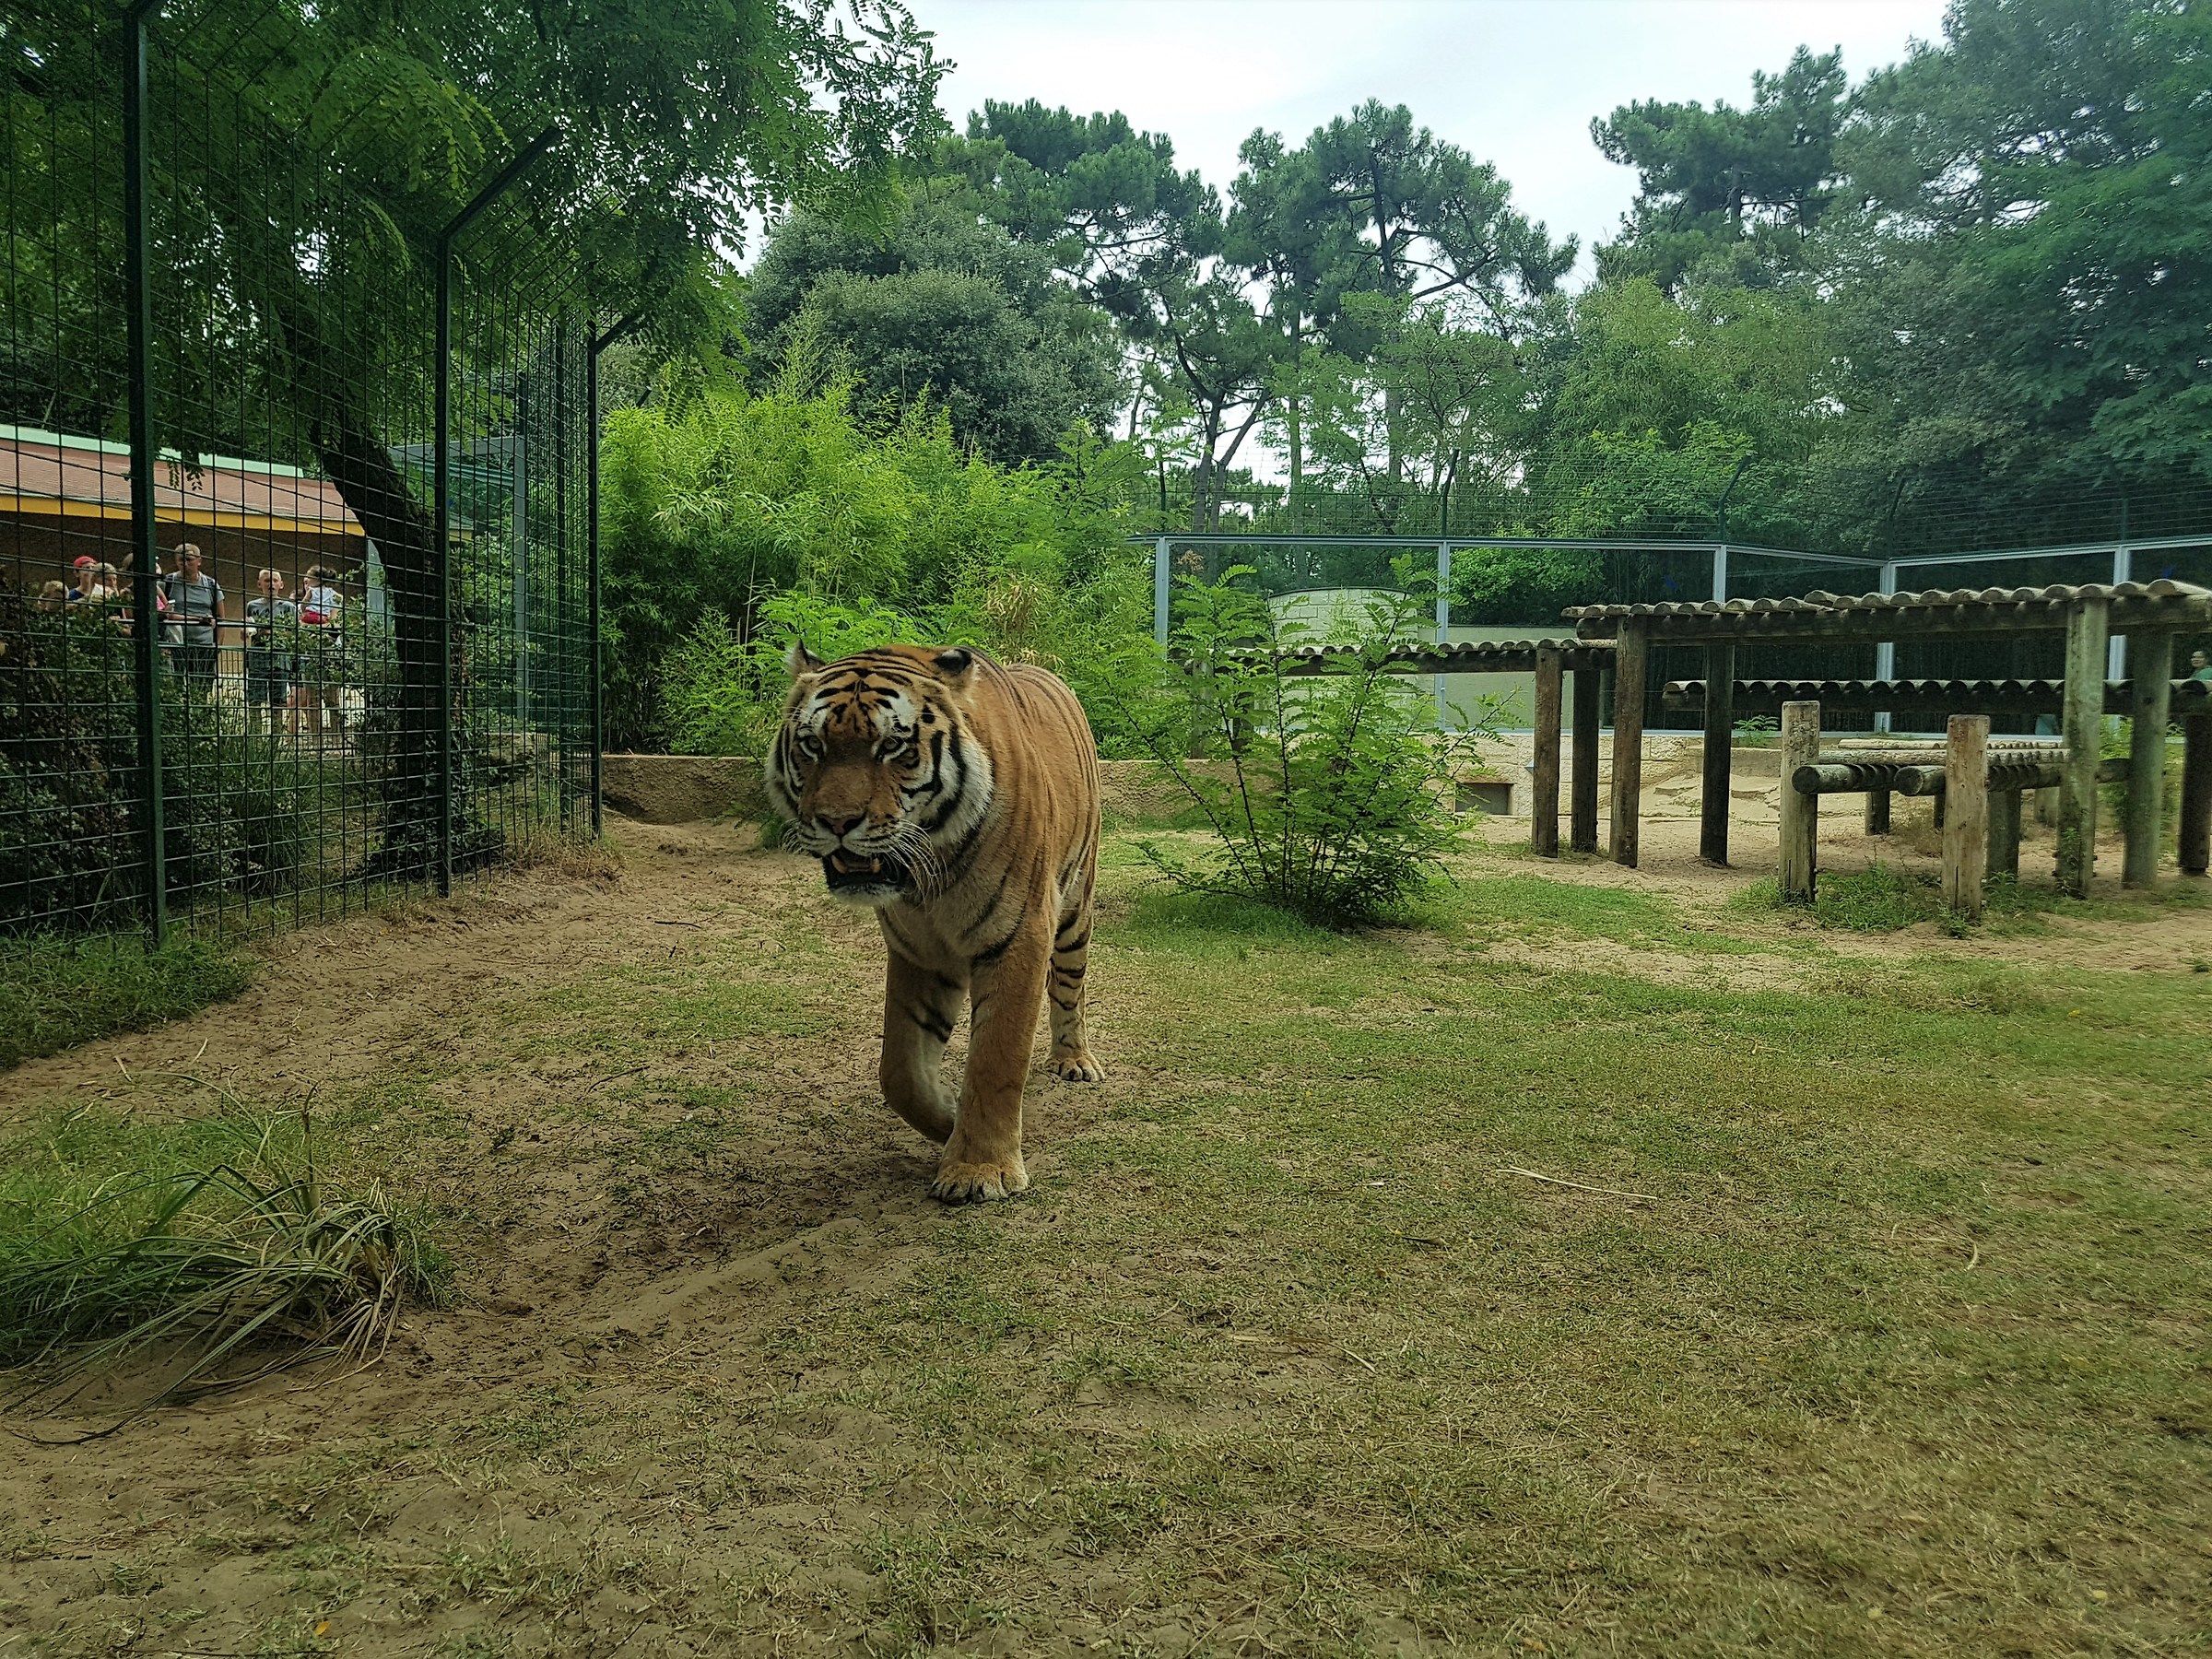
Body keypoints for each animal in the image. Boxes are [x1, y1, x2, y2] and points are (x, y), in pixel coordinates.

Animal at [765, 641, 1101, 1203]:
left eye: (892, 748)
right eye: (813, 746)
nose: (836, 822)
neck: (930, 873)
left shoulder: (1020, 935)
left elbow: (996, 1056)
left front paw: (978, 1170)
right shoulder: (918, 950)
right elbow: (900, 1071)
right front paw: (947, 1119)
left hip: (1076, 909)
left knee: (1069, 990)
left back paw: (1074, 1060)